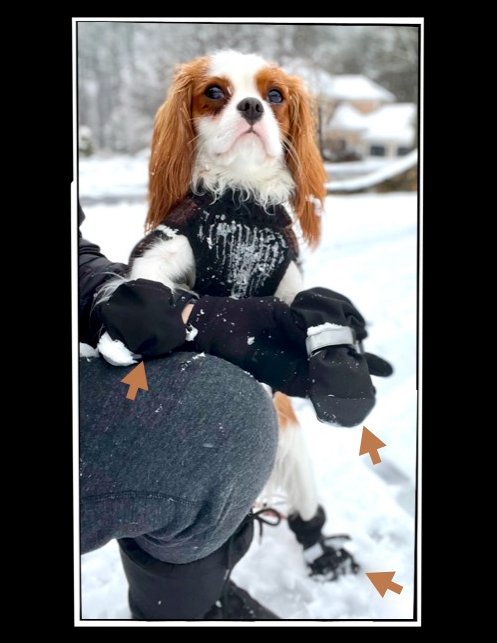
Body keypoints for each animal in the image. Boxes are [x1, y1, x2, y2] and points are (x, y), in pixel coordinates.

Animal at [98, 49, 330, 524]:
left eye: (274, 96)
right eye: (215, 92)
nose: (252, 106)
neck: (240, 203)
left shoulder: (288, 280)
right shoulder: (161, 252)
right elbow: (147, 289)